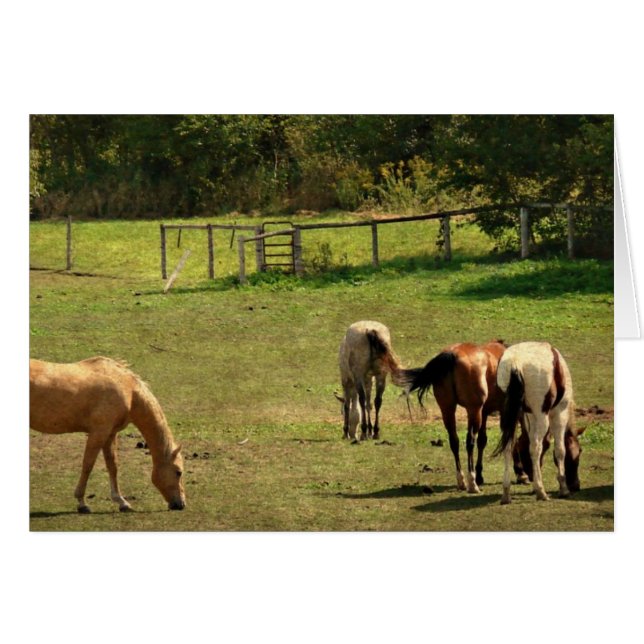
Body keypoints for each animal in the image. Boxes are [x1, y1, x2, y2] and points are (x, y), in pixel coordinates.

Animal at [29, 356, 186, 513]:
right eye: (178, 472)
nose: (181, 504)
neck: (127, 389)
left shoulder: (110, 434)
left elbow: (112, 465)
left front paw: (122, 502)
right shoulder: (99, 432)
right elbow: (87, 465)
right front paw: (82, 503)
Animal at [401, 341, 507, 493]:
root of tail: (452, 355)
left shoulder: (485, 412)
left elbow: (483, 441)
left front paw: (480, 475)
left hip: (448, 409)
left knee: (454, 441)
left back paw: (462, 480)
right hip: (473, 410)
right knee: (470, 442)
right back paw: (472, 482)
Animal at [494, 341, 581, 504]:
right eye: (578, 453)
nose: (576, 486)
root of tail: (515, 361)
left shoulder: (529, 416)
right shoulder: (559, 413)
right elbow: (559, 450)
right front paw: (563, 487)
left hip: (508, 416)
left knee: (508, 447)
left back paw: (506, 493)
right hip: (542, 417)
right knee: (535, 447)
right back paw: (541, 492)